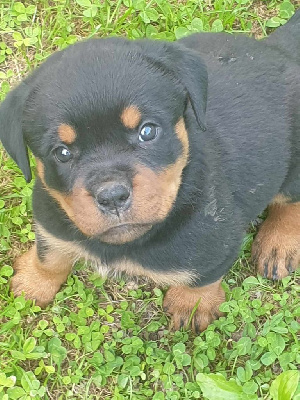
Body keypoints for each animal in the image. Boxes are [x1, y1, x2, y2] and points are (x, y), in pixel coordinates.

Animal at [0, 11, 298, 332]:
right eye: (62, 153)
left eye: (147, 131)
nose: (112, 196)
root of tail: (277, 50)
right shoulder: (49, 218)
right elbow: (49, 254)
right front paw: (33, 281)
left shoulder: (219, 239)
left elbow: (202, 277)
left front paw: (190, 305)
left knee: (290, 201)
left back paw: (279, 244)